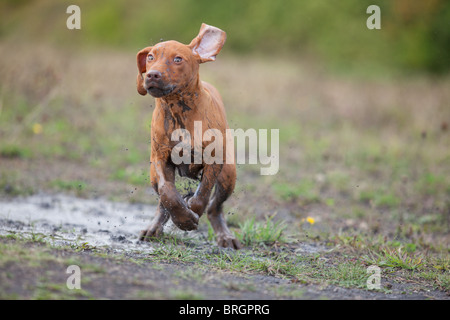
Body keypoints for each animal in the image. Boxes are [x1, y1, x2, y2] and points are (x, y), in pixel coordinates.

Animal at [135, 23, 243, 249]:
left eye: (178, 59)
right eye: (150, 57)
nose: (152, 75)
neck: (178, 110)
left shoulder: (214, 159)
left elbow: (203, 193)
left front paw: (191, 209)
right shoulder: (160, 158)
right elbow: (168, 192)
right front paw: (183, 218)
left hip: (229, 175)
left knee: (215, 208)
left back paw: (224, 236)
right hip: (152, 174)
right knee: (162, 203)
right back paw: (154, 228)